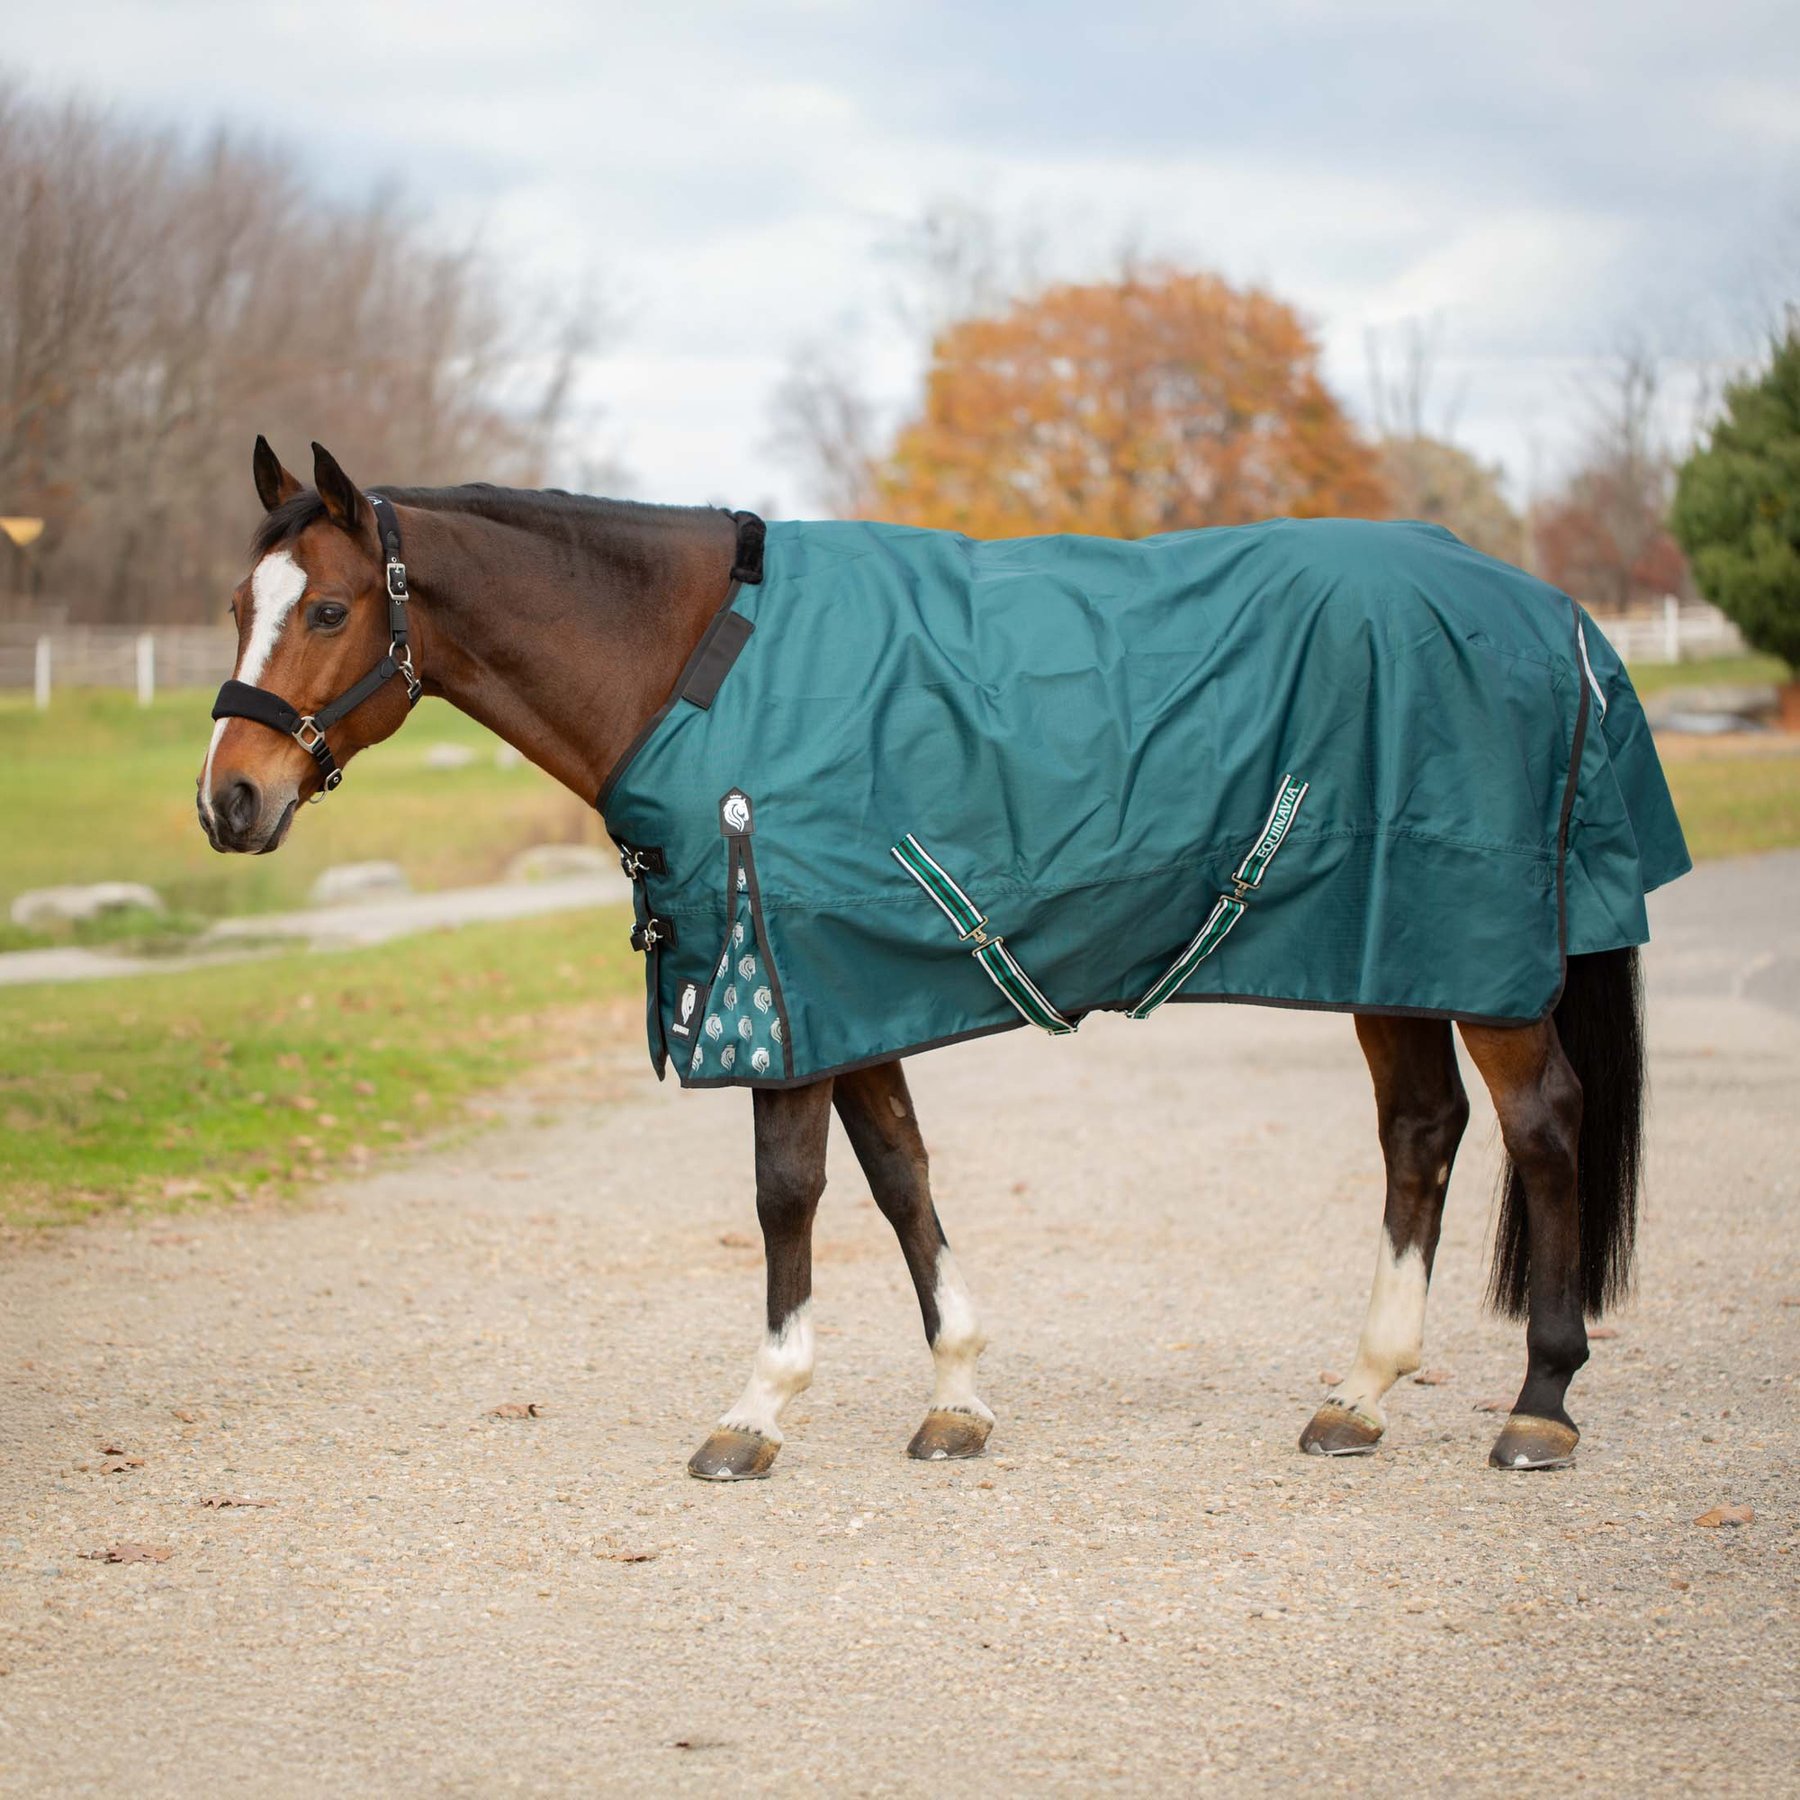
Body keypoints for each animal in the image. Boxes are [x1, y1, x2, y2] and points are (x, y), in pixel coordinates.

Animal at [198, 437, 1678, 1481]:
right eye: (235, 606)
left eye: (328, 610)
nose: (229, 801)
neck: (704, 665)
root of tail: (1555, 618)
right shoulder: (847, 988)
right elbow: (901, 1176)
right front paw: (958, 1398)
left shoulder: (781, 988)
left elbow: (788, 1197)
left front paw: (758, 1411)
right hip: (1388, 947)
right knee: (1422, 1132)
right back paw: (1360, 1396)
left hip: (1471, 954)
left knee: (1543, 1126)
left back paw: (1540, 1405)